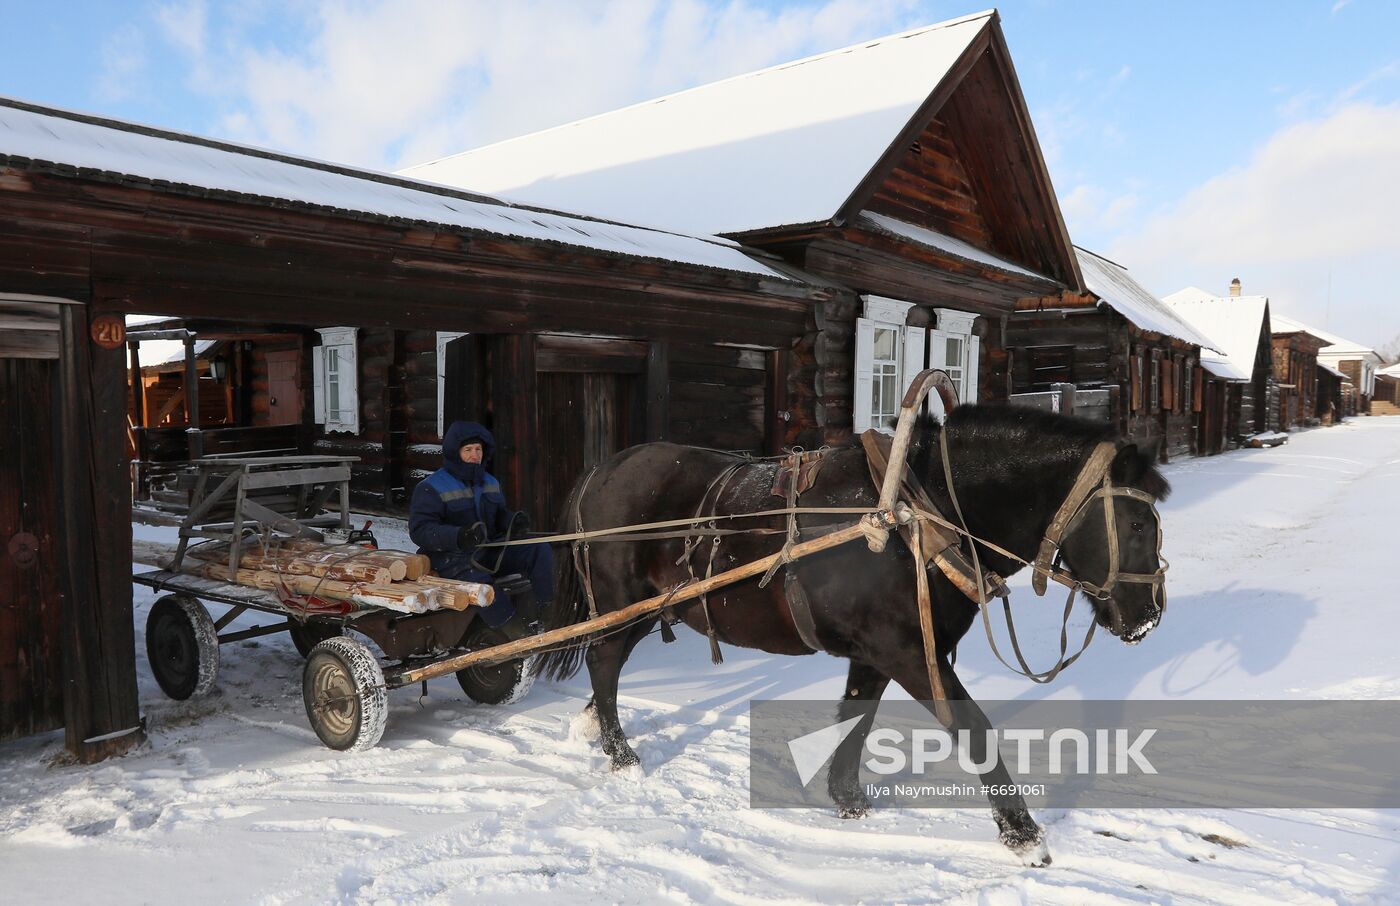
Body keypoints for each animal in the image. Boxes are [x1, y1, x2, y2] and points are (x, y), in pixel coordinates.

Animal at [534, 408, 1170, 868]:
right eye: (1138, 524)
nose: (1147, 616)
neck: (920, 513)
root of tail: (600, 471)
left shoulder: (878, 652)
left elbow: (858, 717)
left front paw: (848, 799)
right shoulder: (909, 653)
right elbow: (974, 730)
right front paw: (1024, 836)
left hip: (646, 608)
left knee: (607, 664)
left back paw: (594, 728)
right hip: (621, 603)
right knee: (604, 662)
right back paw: (619, 753)